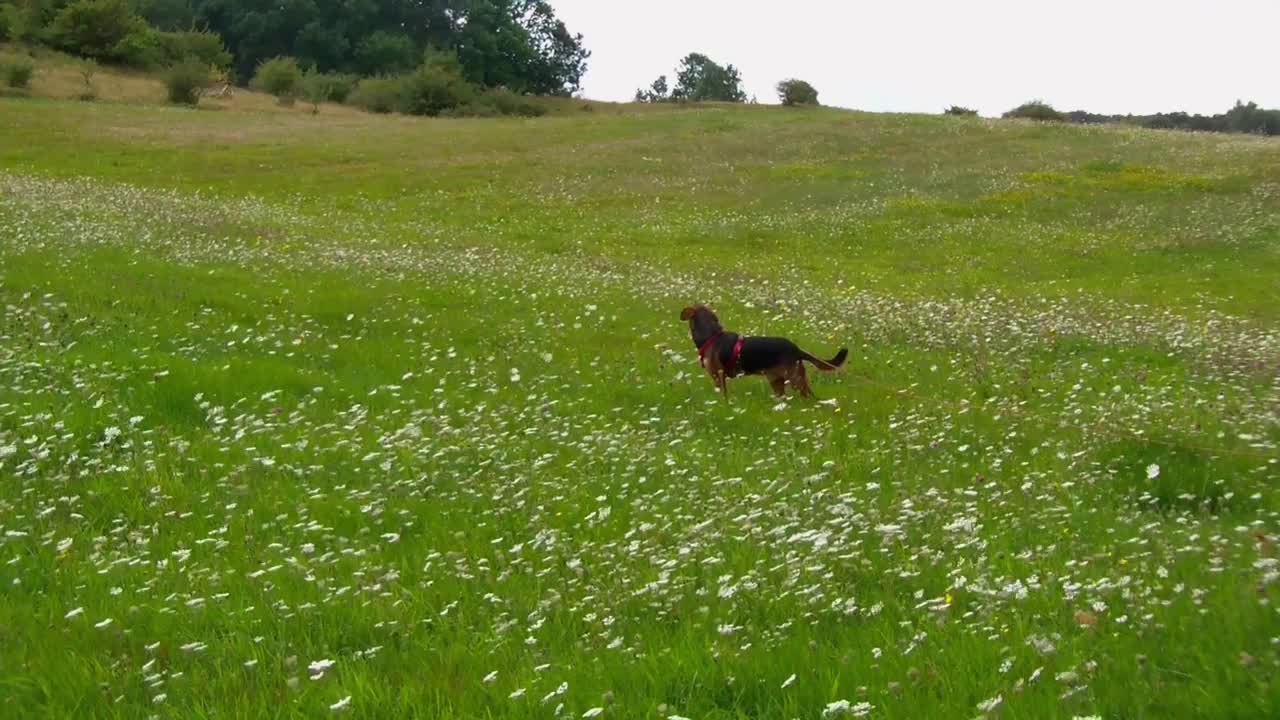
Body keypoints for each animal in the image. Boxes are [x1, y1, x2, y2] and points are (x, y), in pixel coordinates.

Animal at [680, 303, 849, 397]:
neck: (711, 335)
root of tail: (797, 349)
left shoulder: (717, 375)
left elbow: (722, 393)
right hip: (777, 381)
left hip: (795, 378)